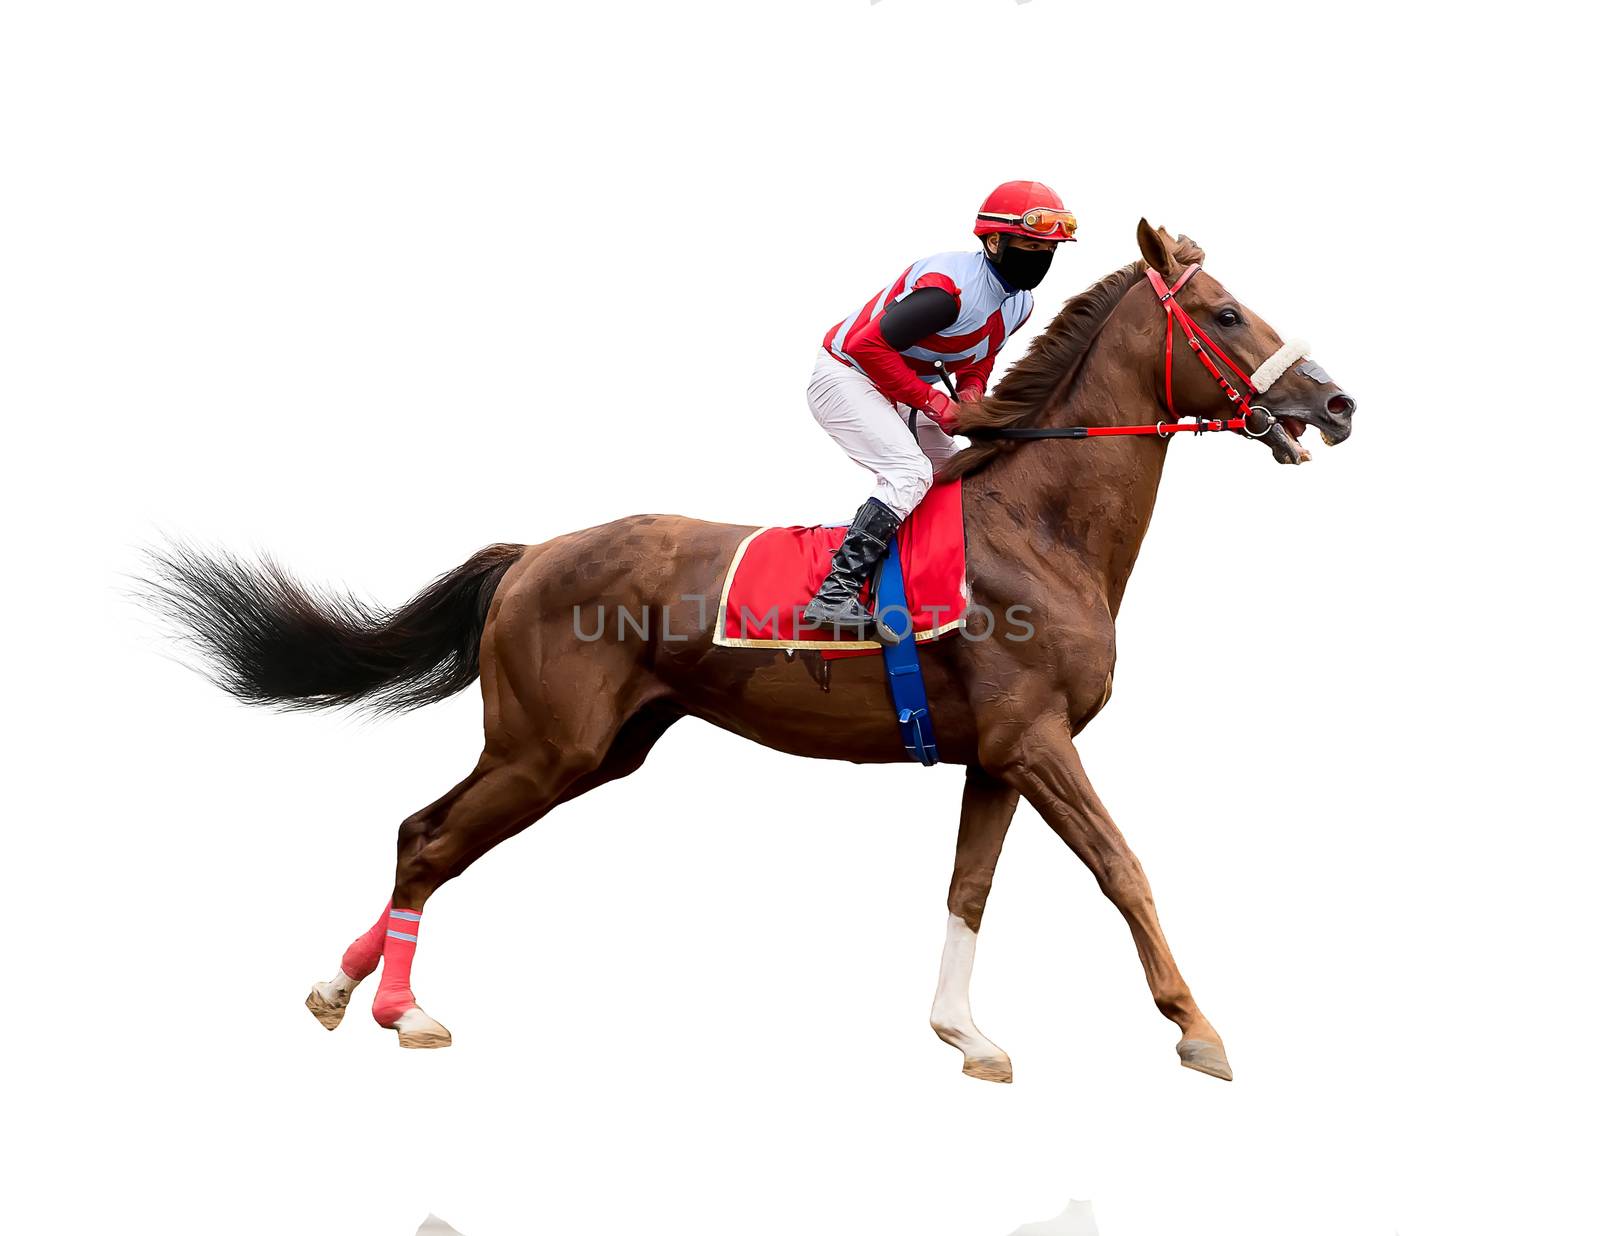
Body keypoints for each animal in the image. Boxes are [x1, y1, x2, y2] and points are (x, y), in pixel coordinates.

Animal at [147, 222, 1350, 1082]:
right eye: (1227, 313)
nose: (1337, 401)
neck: (1042, 527)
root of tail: (533, 553)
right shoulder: (1036, 738)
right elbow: (1123, 868)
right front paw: (1198, 1029)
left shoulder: (997, 756)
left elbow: (969, 887)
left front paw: (965, 1034)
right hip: (545, 747)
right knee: (426, 836)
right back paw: (401, 1012)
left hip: (598, 751)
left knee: (427, 839)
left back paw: (339, 991)